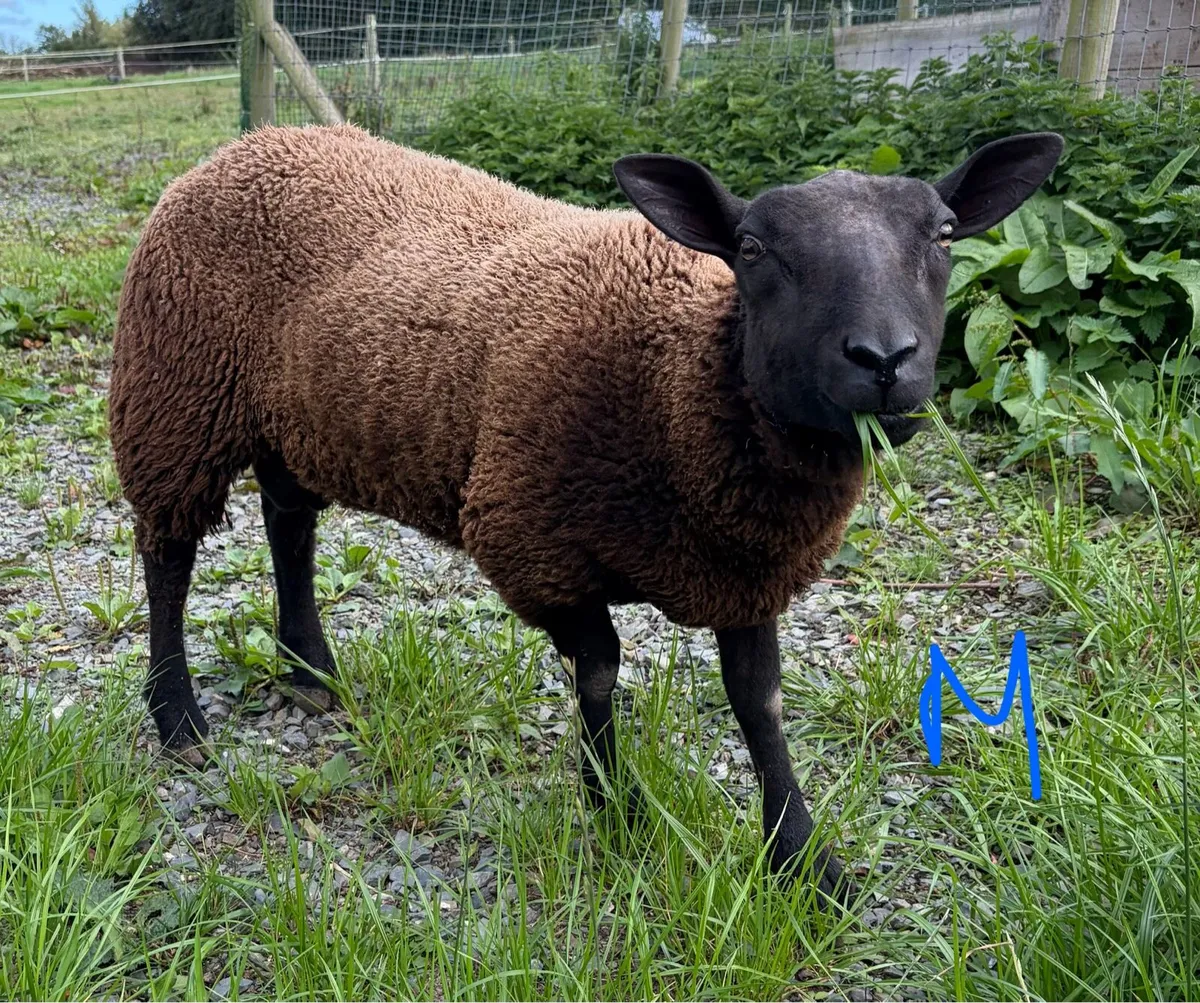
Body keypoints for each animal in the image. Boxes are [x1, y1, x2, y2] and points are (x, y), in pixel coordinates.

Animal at [110, 124, 1062, 900]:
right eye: (753, 248)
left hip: (290, 415)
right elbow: (601, 671)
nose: (885, 359)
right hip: (172, 391)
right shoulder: (532, 540)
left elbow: (759, 702)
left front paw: (805, 862)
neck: (681, 371)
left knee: (287, 521)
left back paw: (310, 672)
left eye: (944, 235)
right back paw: (179, 716)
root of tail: (247, 143)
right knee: (168, 555)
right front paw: (615, 810)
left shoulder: (746, 565)